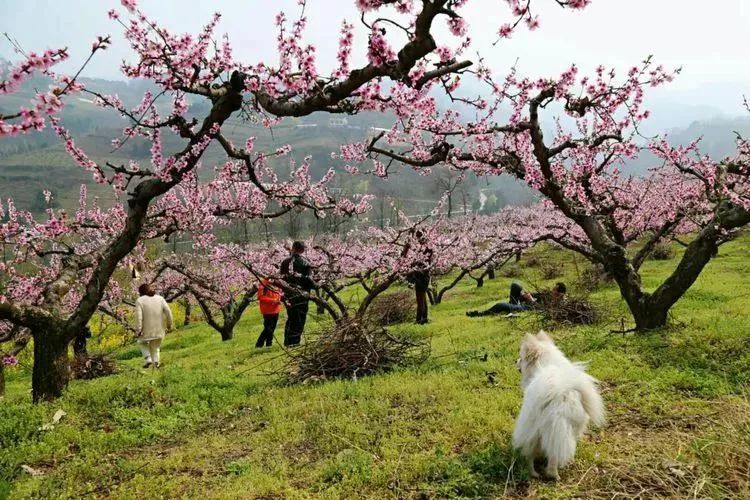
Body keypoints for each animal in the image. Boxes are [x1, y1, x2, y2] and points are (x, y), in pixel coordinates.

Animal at [516, 330, 608, 478]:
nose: (516, 361)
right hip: (563, 429)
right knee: (553, 455)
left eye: (521, 358)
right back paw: (554, 474)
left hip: (535, 430)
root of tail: (559, 395)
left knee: (531, 455)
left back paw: (536, 473)